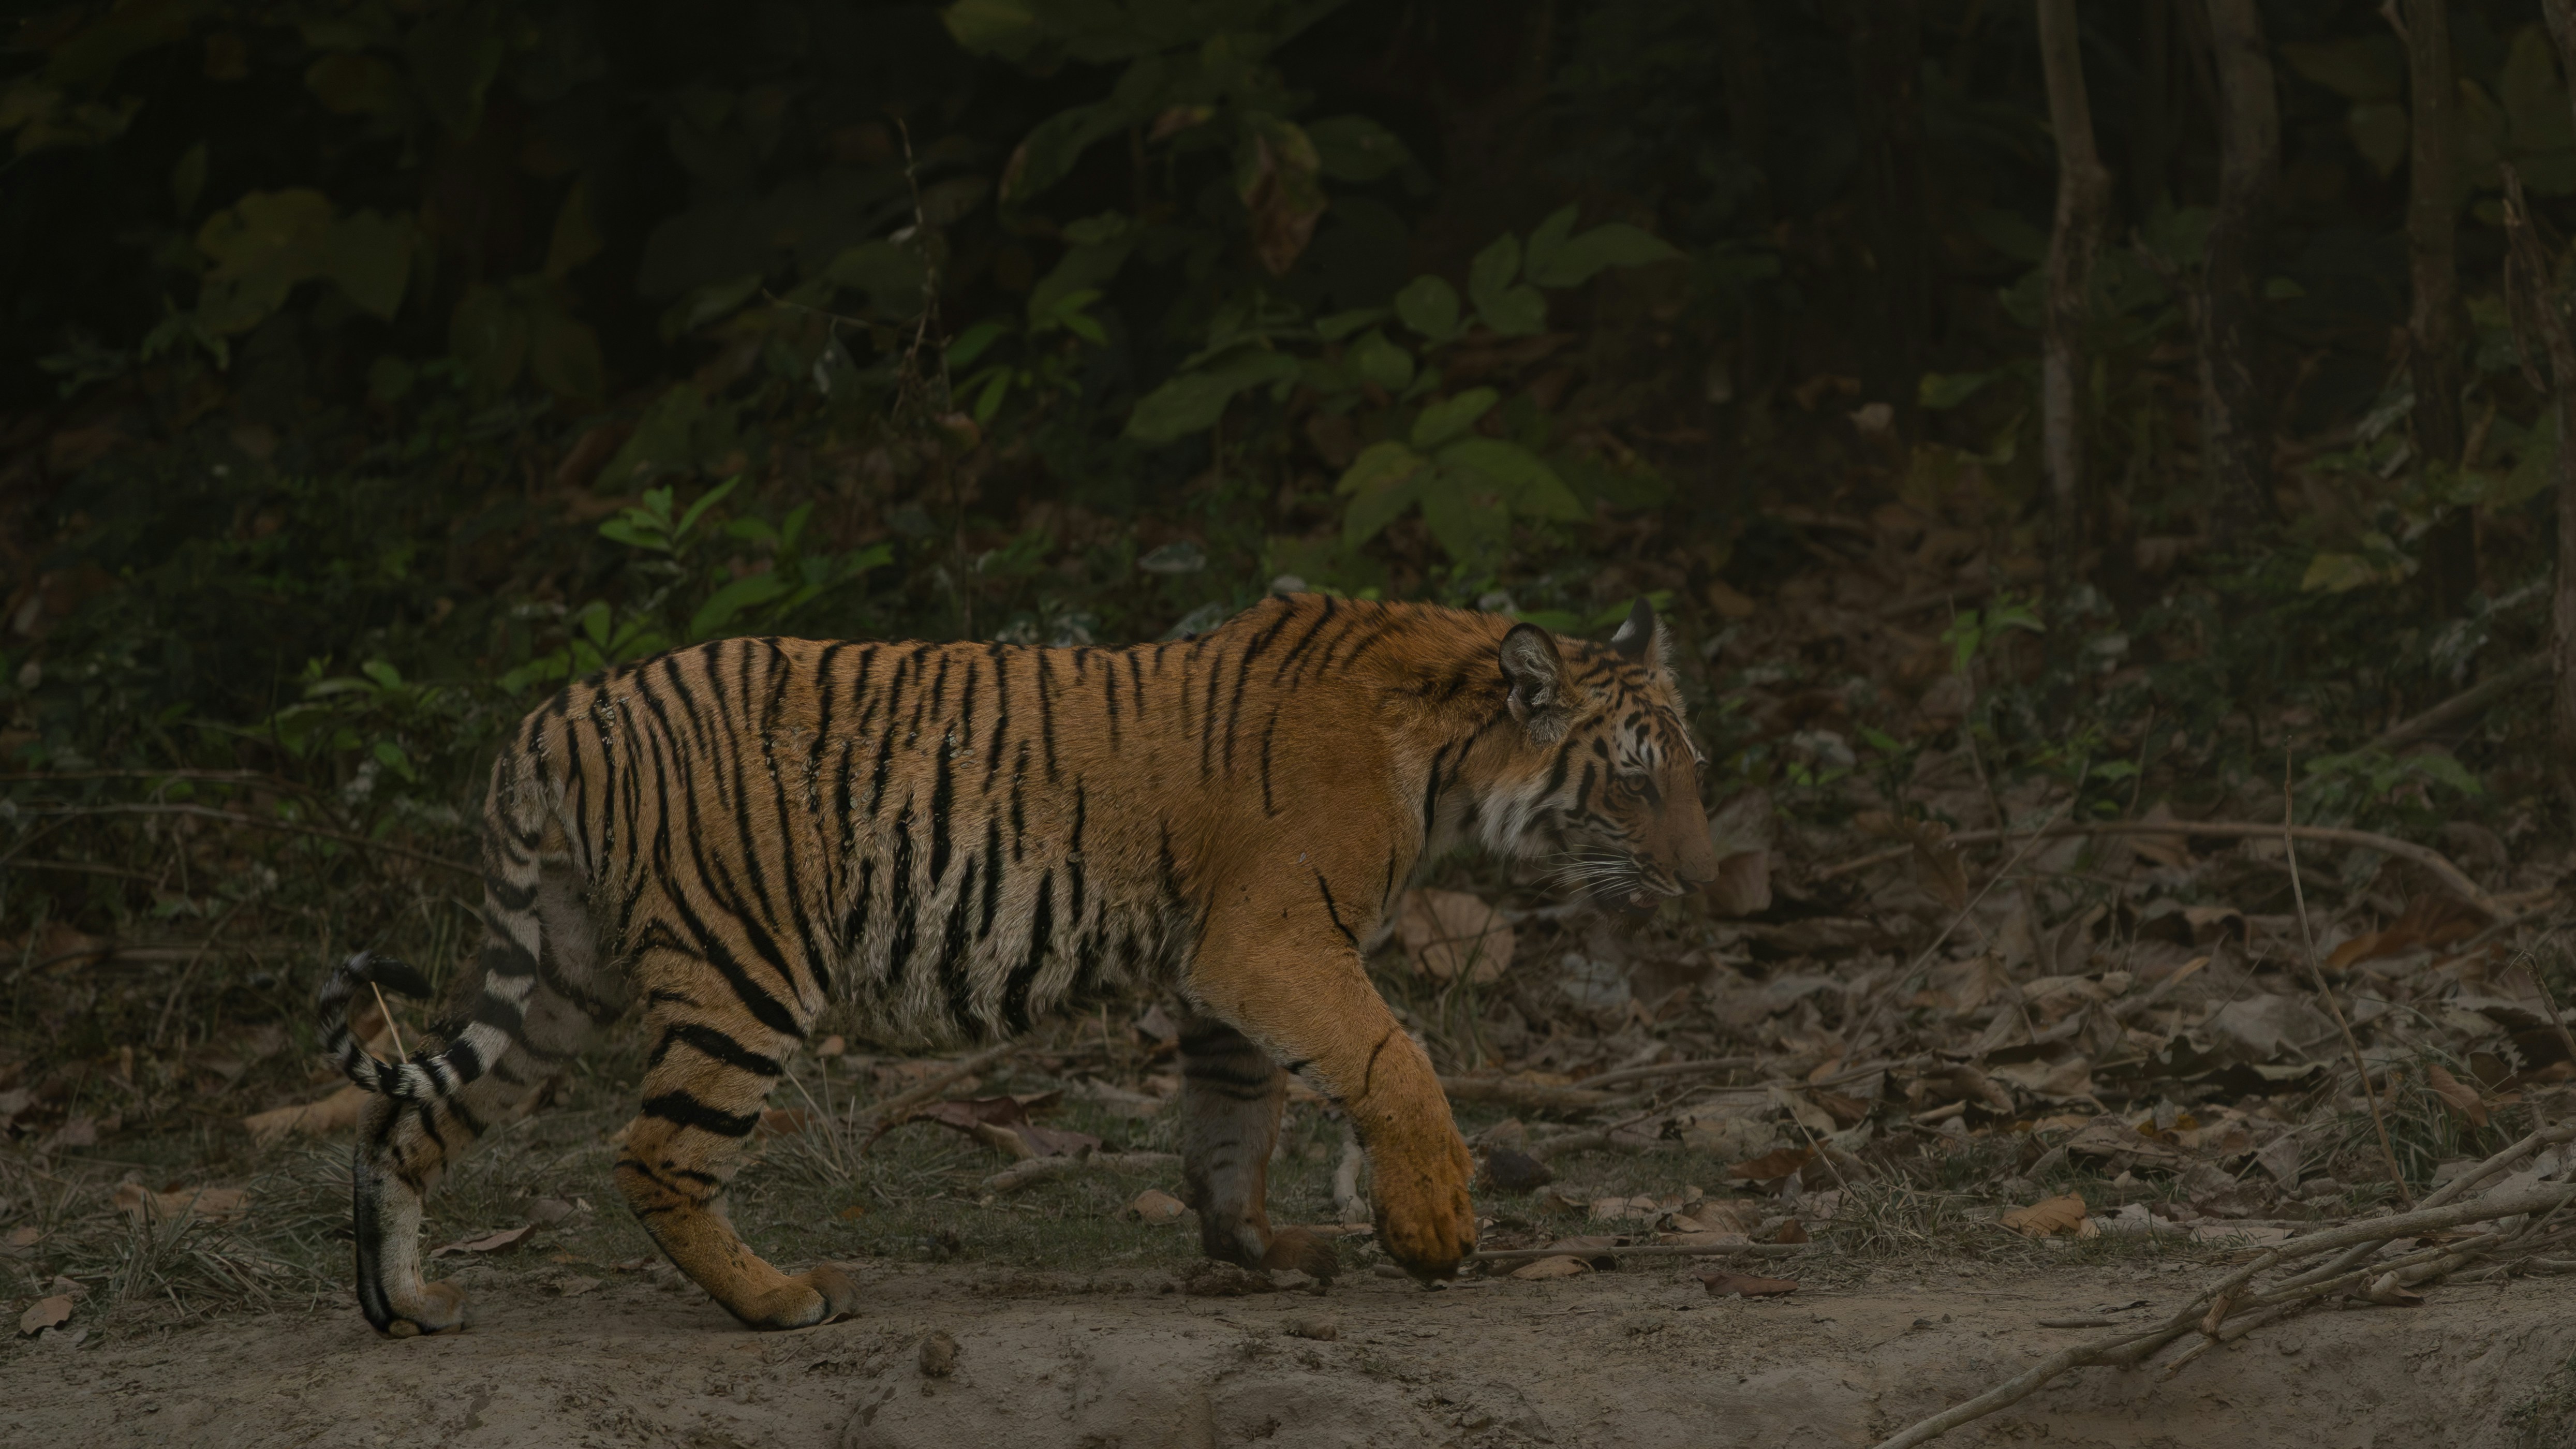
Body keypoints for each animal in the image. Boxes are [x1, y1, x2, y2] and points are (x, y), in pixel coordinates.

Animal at [315, 593, 1718, 1335]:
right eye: (1636, 779)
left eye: (1690, 766)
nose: (1702, 873)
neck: (1446, 751)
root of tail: (555, 716)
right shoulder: (1275, 940)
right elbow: (1393, 1060)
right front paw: (1433, 1229)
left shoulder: (1221, 972)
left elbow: (1234, 1122)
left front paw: (1259, 1249)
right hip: (739, 967)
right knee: (652, 1152)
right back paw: (780, 1297)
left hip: (561, 976)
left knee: (403, 1127)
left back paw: (409, 1307)